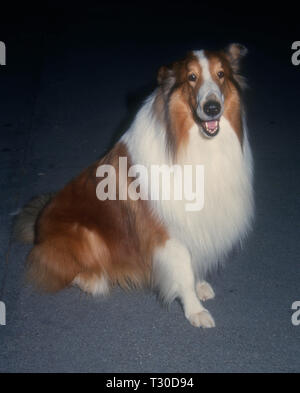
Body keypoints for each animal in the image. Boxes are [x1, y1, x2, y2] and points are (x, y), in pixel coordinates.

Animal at [14, 43, 253, 326]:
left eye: (221, 75)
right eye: (191, 77)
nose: (213, 107)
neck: (192, 142)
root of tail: (38, 228)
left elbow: (194, 260)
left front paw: (200, 285)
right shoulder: (168, 232)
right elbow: (183, 269)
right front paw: (195, 310)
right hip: (85, 233)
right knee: (65, 270)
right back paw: (95, 280)